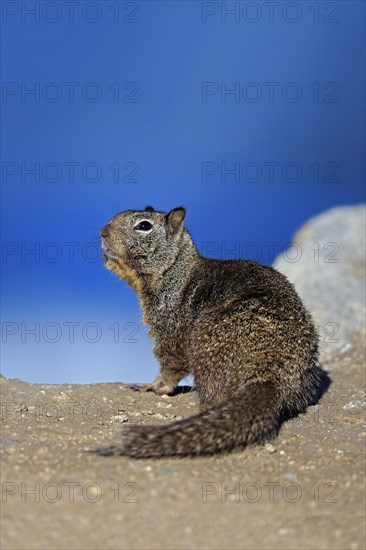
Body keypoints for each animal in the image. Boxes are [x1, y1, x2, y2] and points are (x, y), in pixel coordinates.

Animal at [95, 207, 324, 462]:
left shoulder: (169, 325)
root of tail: (268, 374)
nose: (103, 232)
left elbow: (171, 363)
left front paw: (152, 386)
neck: (176, 271)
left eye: (144, 226)